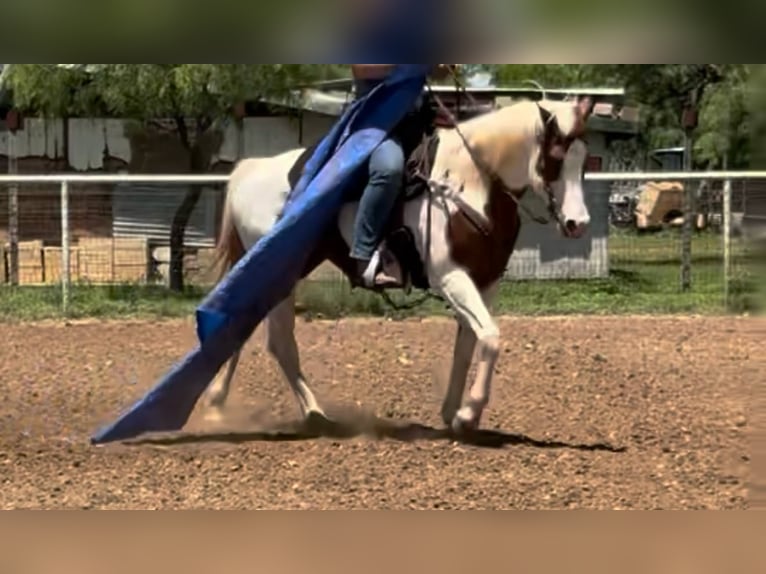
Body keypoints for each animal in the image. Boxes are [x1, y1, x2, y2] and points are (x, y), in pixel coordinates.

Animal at [203, 94, 595, 435]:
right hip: (280, 275)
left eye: (585, 159)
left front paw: (452, 413)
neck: (469, 182)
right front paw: (468, 414)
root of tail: (250, 169)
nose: (579, 223)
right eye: (556, 155)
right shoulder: (451, 278)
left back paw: (217, 400)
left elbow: (468, 345)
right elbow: (491, 337)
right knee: (280, 342)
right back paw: (315, 414)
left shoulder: (485, 282)